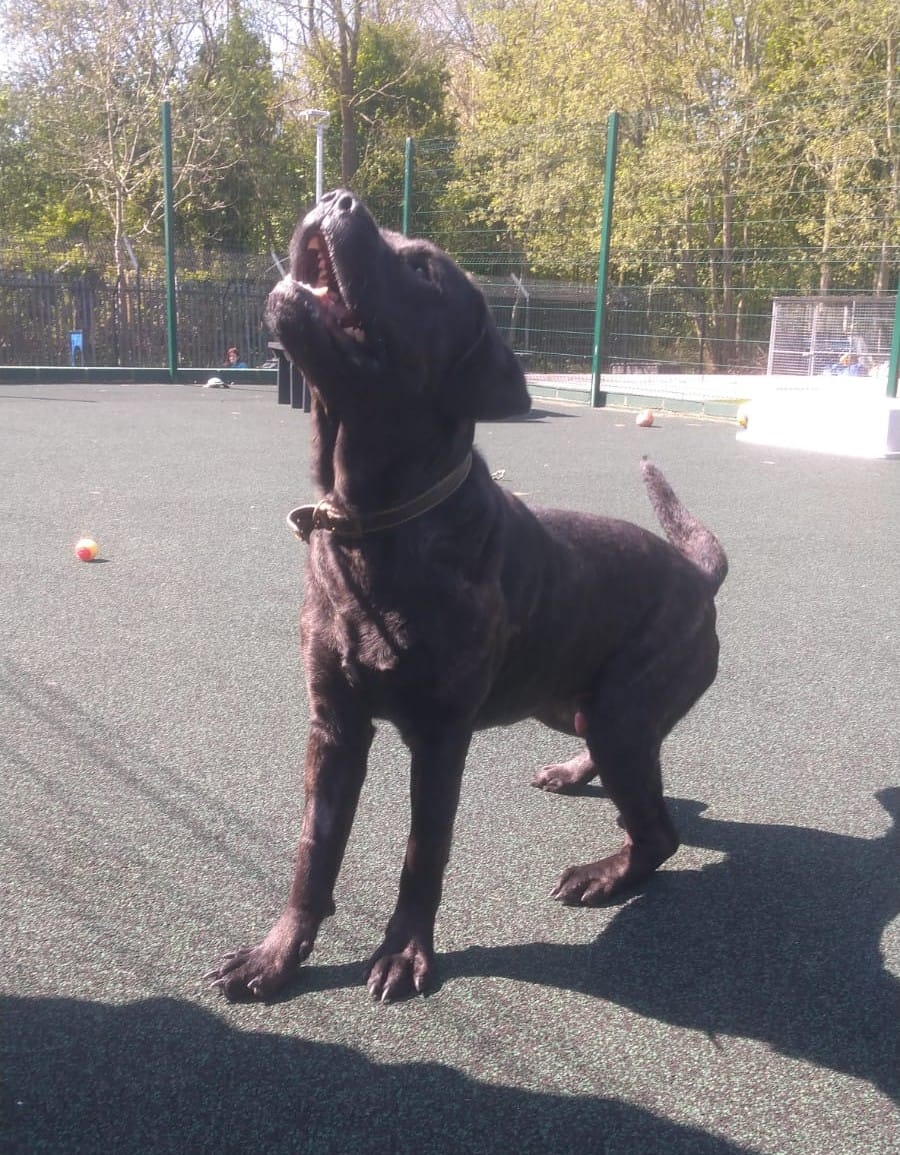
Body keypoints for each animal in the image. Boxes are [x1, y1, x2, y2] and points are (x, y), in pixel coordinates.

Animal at [208, 189, 727, 1003]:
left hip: (620, 710)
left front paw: (404, 954)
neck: (373, 520)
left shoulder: (440, 735)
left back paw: (601, 875)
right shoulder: (334, 725)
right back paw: (575, 775)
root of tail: (697, 572)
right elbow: (312, 853)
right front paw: (275, 956)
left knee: (659, 830)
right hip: (576, 702)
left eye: (423, 270)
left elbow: (423, 852)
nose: (337, 197)